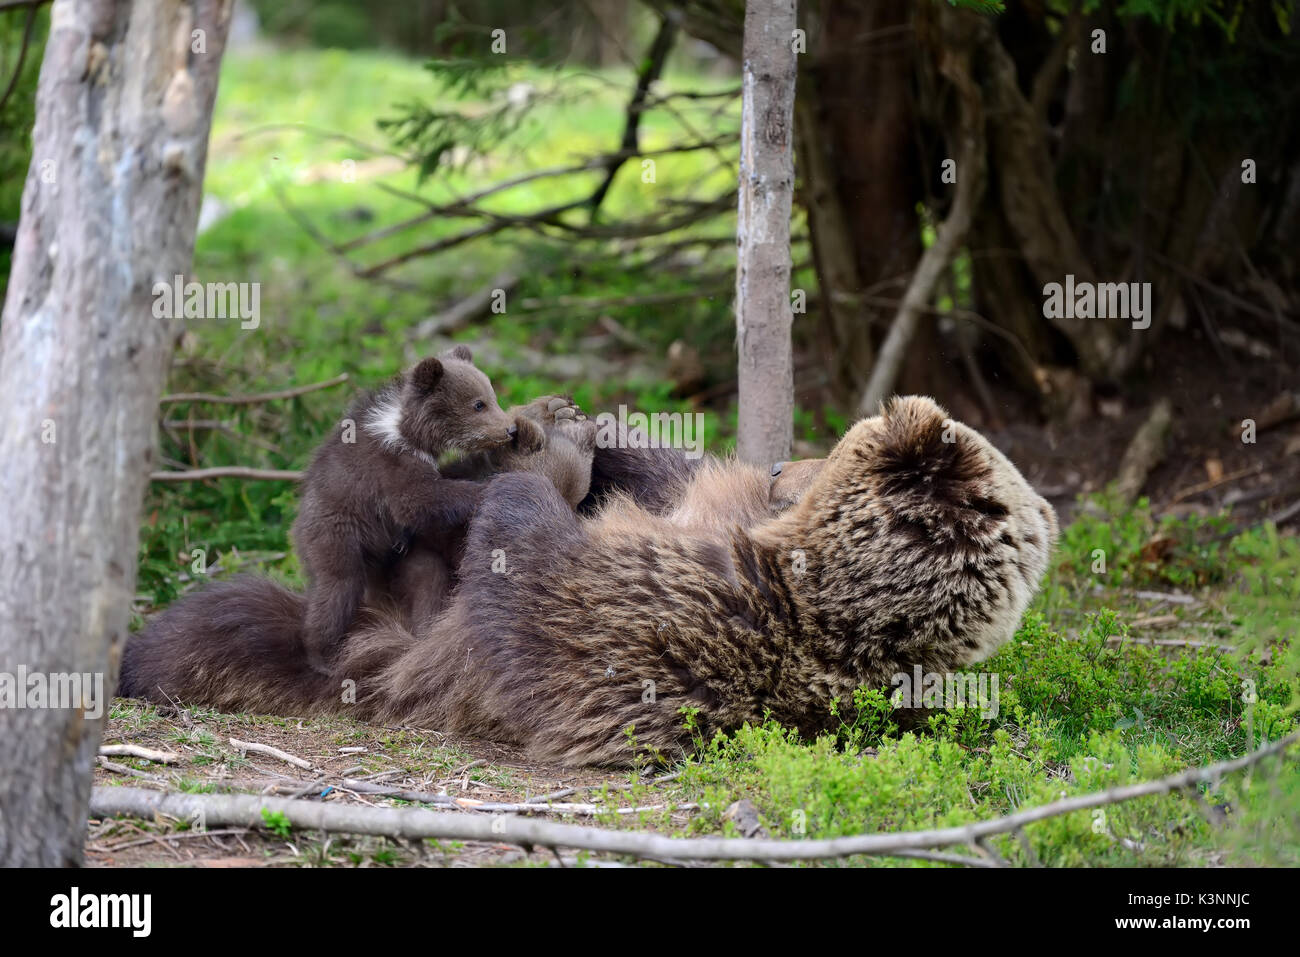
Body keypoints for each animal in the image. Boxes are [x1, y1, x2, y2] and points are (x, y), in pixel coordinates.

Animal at [119, 396, 1057, 767]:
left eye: (834, 446)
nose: (780, 463)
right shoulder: (697, 514)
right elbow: (660, 474)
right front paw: (587, 429)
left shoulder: (678, 612)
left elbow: (539, 583)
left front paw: (546, 467)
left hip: (374, 644)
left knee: (232, 622)